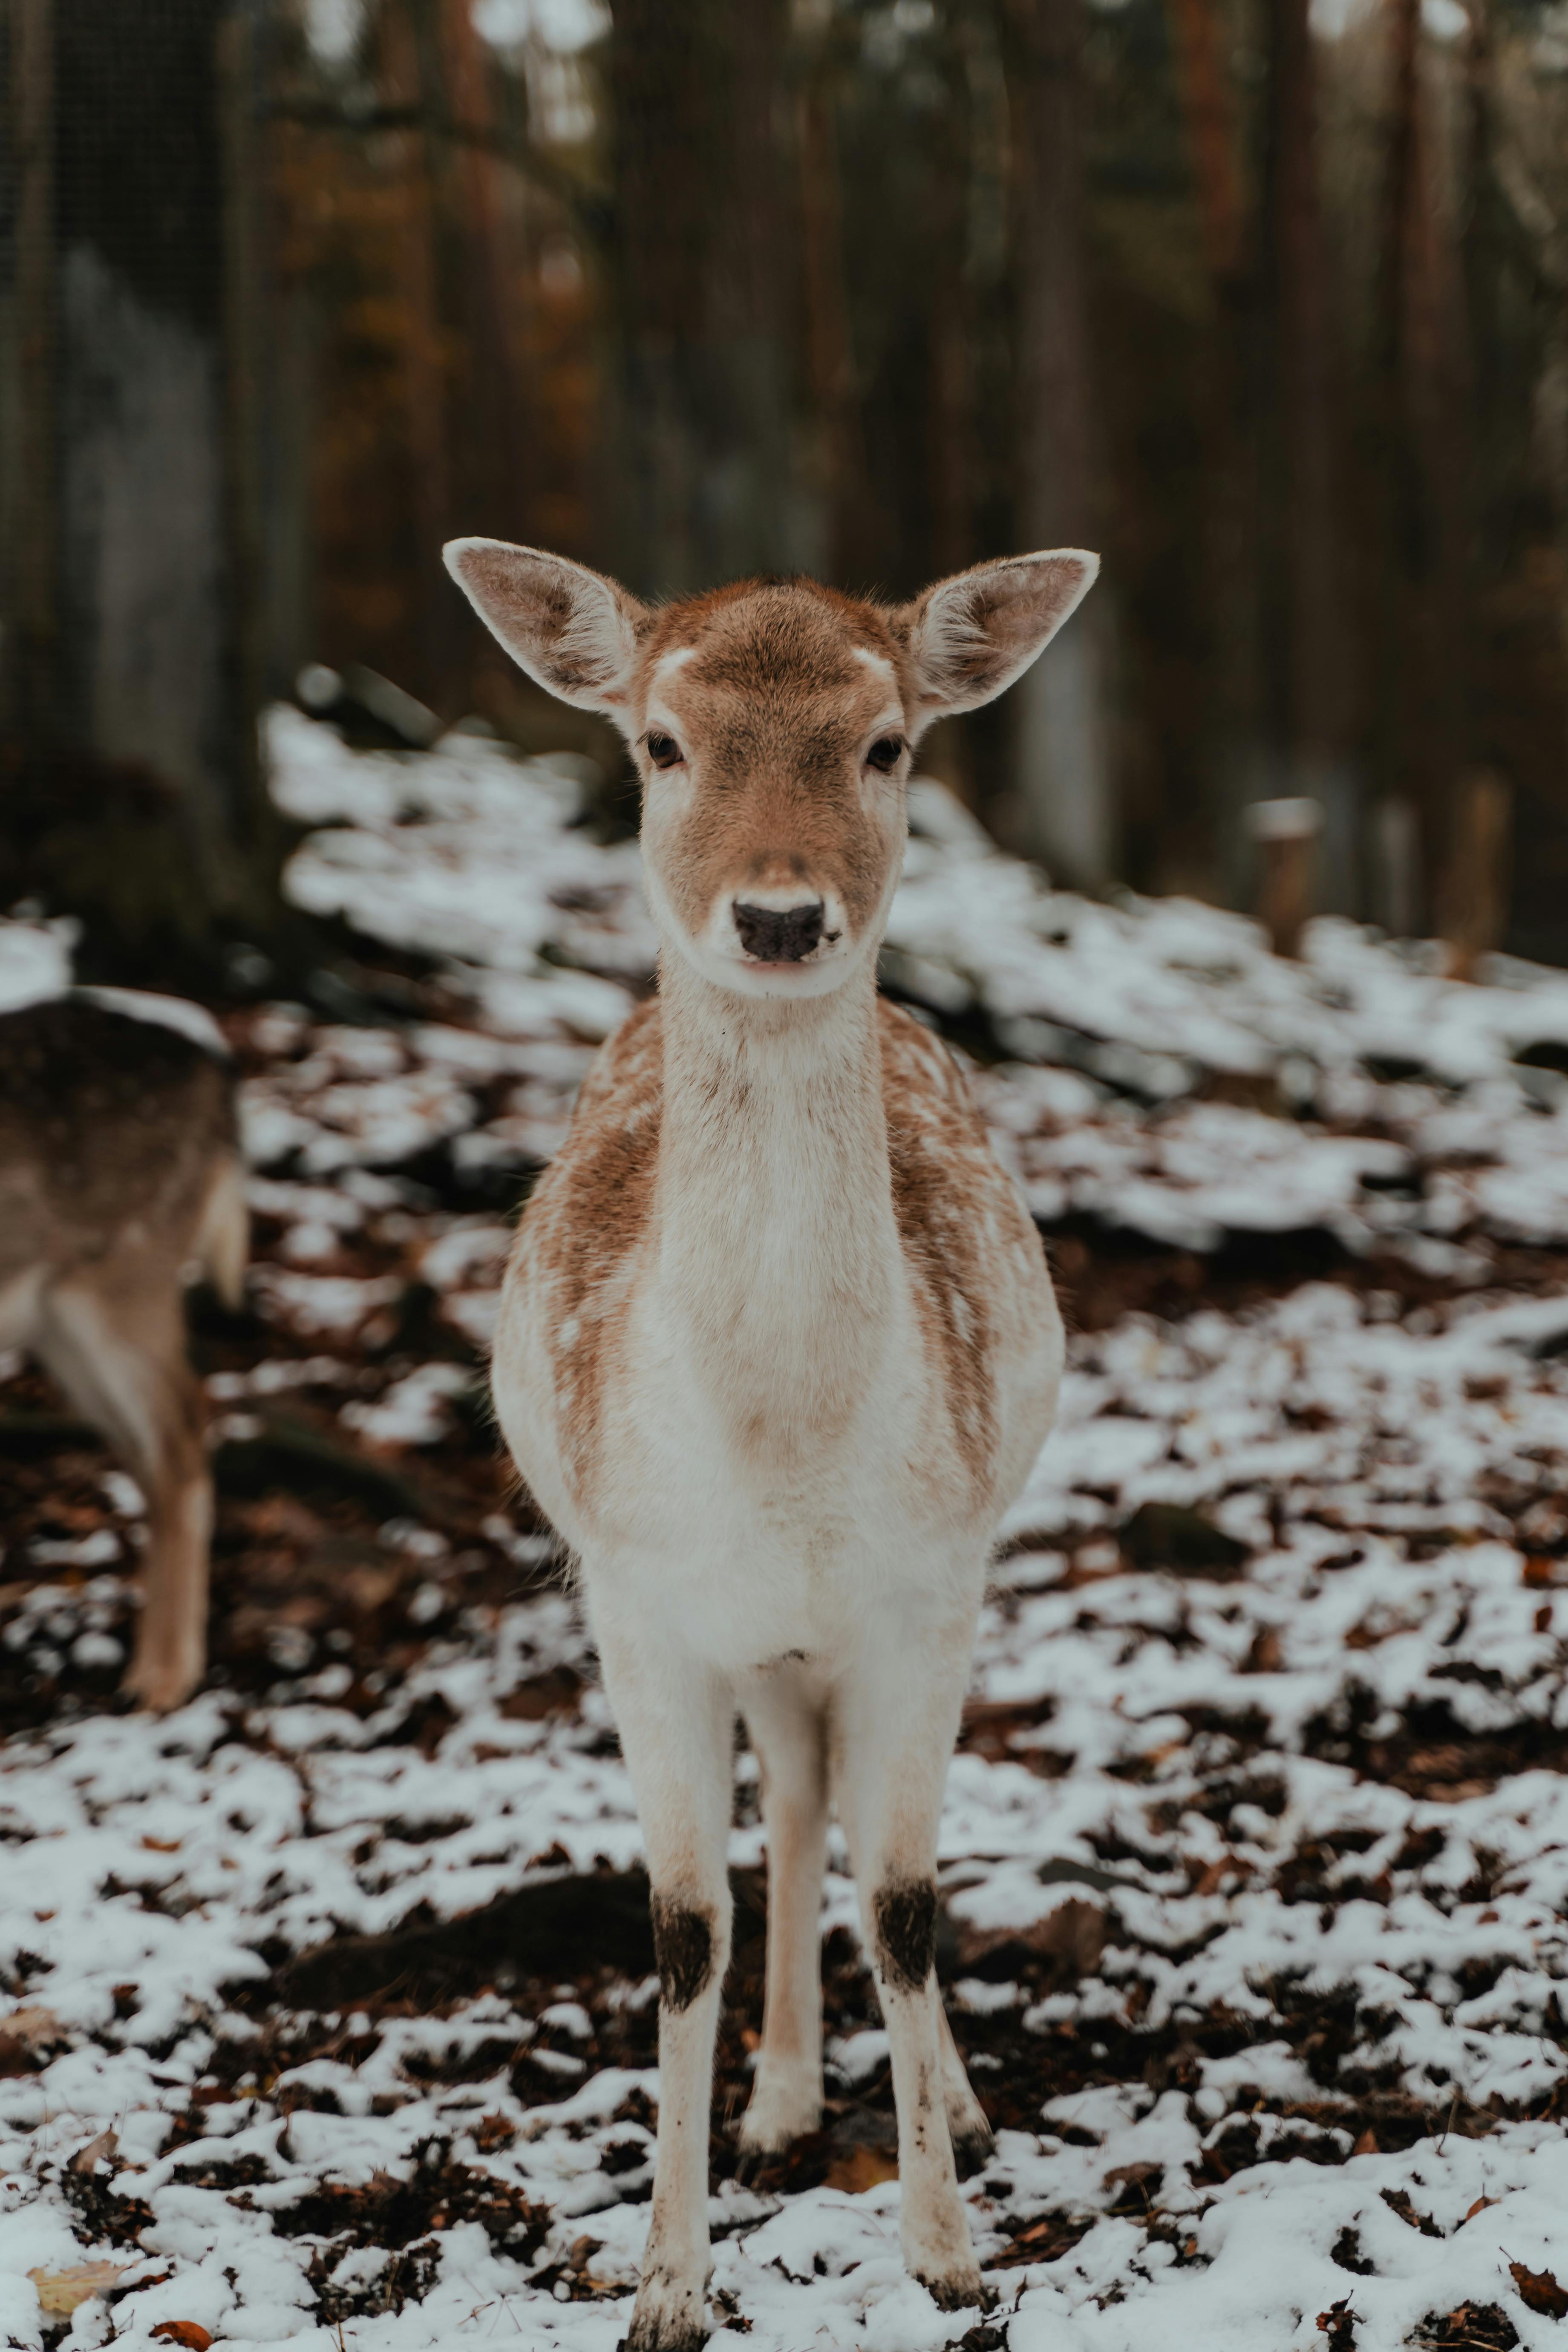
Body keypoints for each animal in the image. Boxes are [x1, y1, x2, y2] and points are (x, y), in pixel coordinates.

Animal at [0, 992, 247, 1712]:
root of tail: (219, 1079)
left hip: (125, 1279)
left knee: (184, 1432)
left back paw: (165, 1677)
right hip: (59, 1327)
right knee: (150, 1455)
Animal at [445, 535, 1098, 2347]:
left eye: (886, 744)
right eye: (660, 744)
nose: (785, 913)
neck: (785, 1451)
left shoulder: (926, 1587)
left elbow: (909, 1898)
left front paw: (947, 2250)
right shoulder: (637, 1600)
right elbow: (683, 1921)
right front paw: (666, 2283)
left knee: (844, 1823)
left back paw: (938, 2103)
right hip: (754, 1645)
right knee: (793, 1809)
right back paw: (786, 2098)